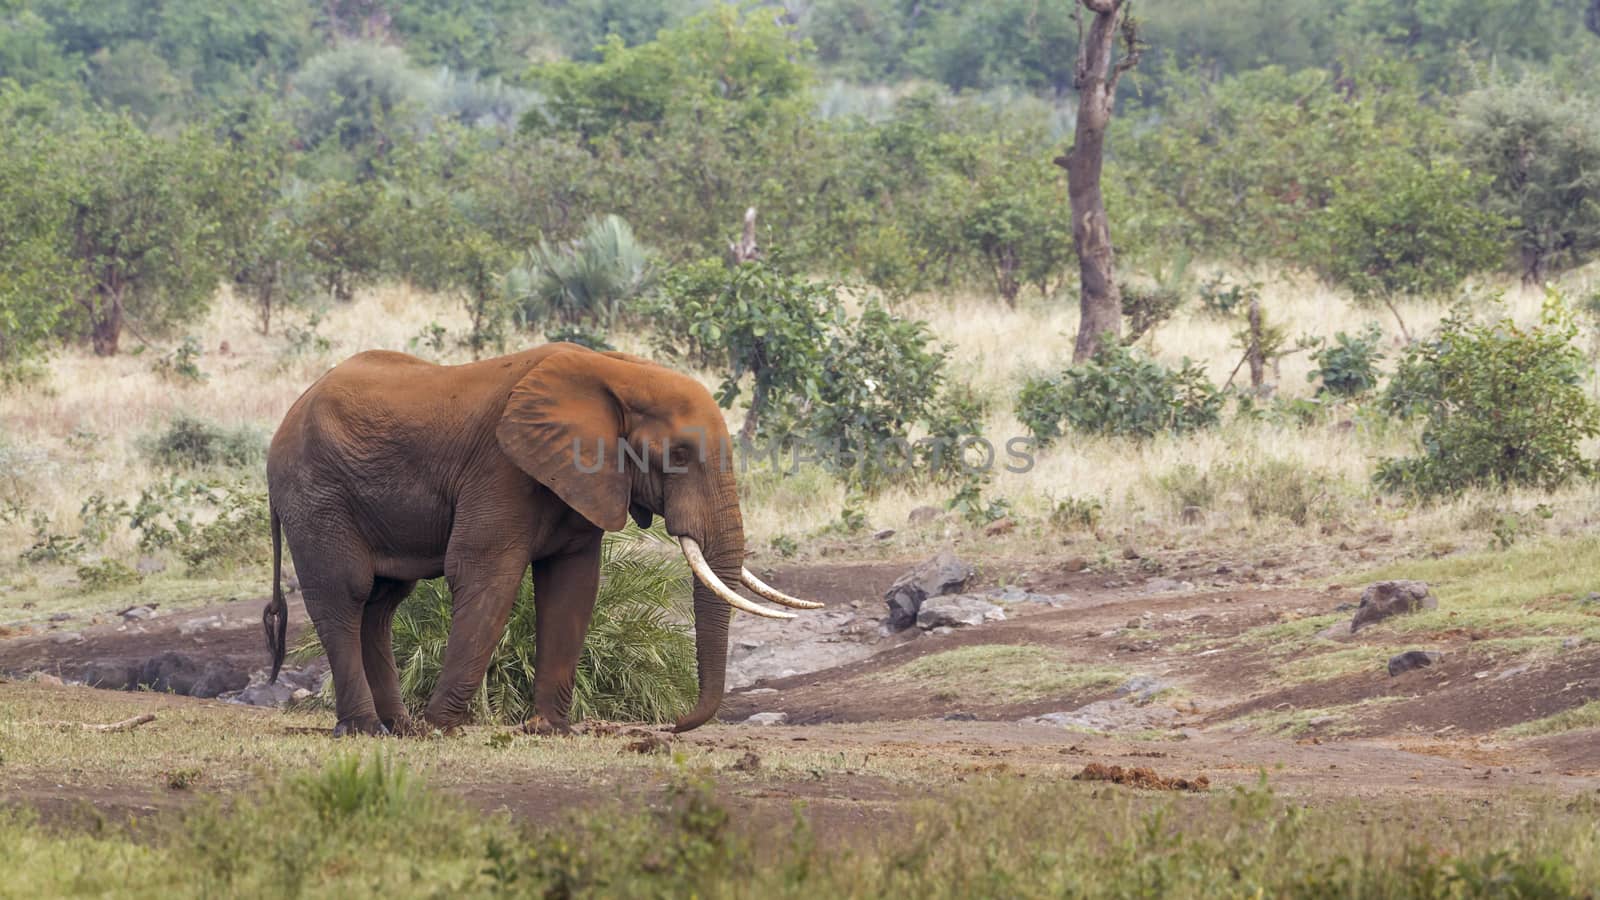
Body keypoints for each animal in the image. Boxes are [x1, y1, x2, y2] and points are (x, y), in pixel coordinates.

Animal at [262, 339, 819, 733]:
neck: (616, 372)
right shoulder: (500, 467)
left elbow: (572, 586)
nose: (672, 725)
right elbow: (485, 574)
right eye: (679, 454)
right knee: (347, 594)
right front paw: (440, 728)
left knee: (381, 604)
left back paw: (395, 727)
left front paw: (547, 729)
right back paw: (366, 729)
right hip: (316, 495)